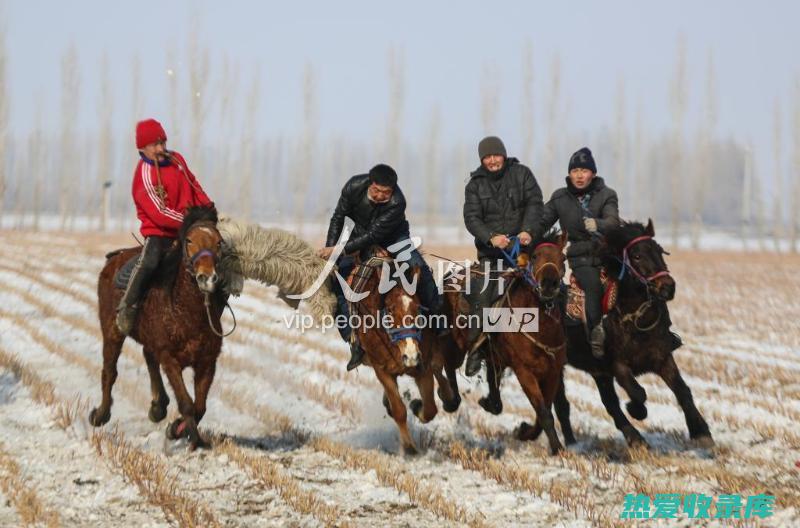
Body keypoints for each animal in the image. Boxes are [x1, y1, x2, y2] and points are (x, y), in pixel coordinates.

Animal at [90, 204, 228, 448]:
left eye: (219, 242)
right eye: (189, 240)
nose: (207, 278)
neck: (188, 311)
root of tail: (112, 259)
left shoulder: (207, 362)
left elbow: (200, 407)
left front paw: (177, 429)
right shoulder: (170, 358)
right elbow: (187, 403)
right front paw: (193, 440)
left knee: (148, 356)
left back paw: (158, 407)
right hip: (112, 331)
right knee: (110, 371)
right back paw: (100, 415)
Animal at [348, 248, 460, 454]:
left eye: (417, 307)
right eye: (390, 309)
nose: (411, 356)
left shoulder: (422, 366)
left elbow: (430, 408)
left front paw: (416, 406)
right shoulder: (381, 369)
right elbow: (399, 409)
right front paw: (409, 448)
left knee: (438, 370)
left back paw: (449, 398)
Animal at [440, 230, 572, 454]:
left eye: (562, 258)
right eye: (535, 256)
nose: (549, 285)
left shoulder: (553, 372)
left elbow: (544, 411)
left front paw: (524, 431)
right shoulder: (524, 372)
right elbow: (543, 412)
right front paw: (557, 449)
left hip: (496, 358)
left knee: (494, 392)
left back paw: (488, 401)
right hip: (454, 344)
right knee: (449, 367)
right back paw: (450, 400)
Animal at [552, 221, 716, 448]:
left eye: (659, 251)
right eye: (637, 256)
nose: (668, 287)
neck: (636, 319)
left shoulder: (663, 358)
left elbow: (683, 391)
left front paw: (701, 432)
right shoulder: (617, 365)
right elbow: (638, 392)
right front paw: (637, 411)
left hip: (597, 373)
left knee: (606, 402)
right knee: (568, 402)